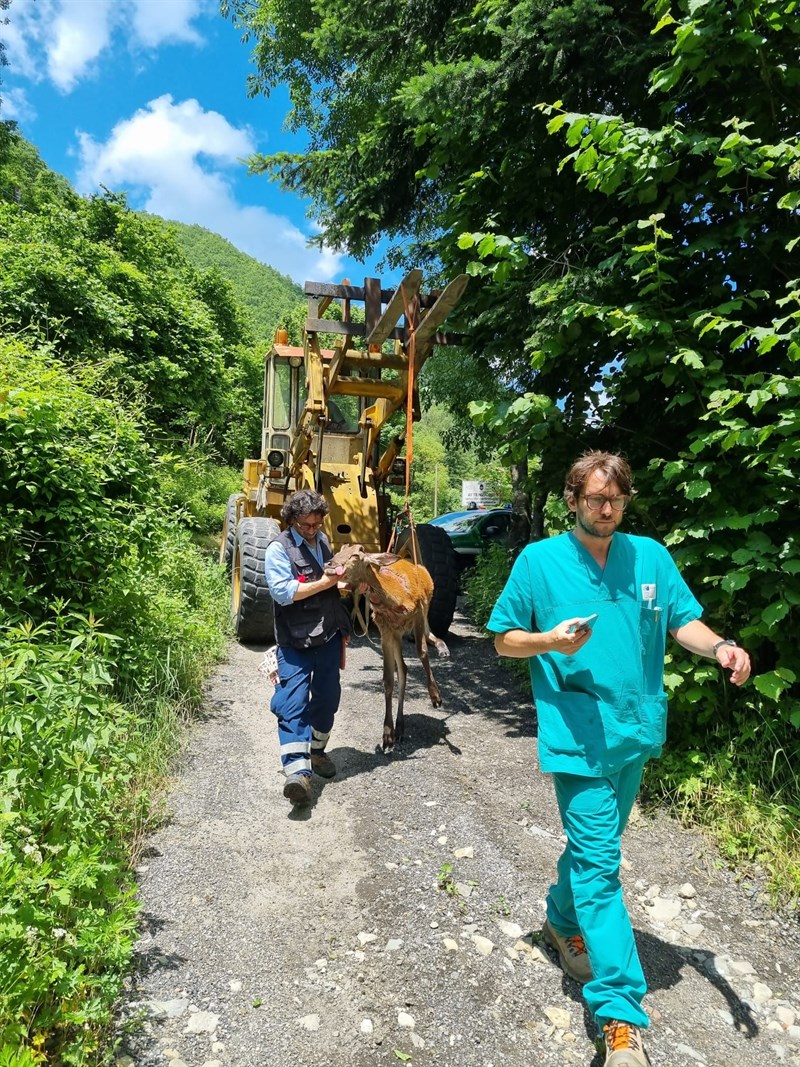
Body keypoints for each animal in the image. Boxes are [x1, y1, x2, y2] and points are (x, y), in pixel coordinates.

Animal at [326, 546, 452, 746]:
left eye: (356, 554)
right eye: (340, 550)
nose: (329, 564)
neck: (397, 598)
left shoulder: (417, 612)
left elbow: (422, 652)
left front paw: (436, 696)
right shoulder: (385, 629)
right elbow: (388, 679)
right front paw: (387, 734)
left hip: (423, 611)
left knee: (425, 637)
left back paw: (442, 649)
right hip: (397, 634)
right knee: (403, 668)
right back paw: (400, 727)